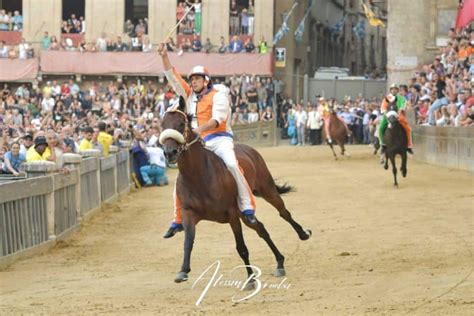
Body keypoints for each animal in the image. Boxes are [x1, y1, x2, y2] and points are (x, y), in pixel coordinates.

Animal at [161, 96, 312, 286]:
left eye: (181, 124)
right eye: (162, 125)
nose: (170, 152)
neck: (199, 175)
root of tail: (250, 149)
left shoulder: (232, 214)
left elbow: (241, 247)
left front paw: (250, 279)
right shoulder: (189, 213)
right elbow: (188, 242)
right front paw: (183, 270)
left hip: (267, 190)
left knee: (283, 212)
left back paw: (303, 234)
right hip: (244, 213)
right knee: (261, 228)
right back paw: (279, 262)